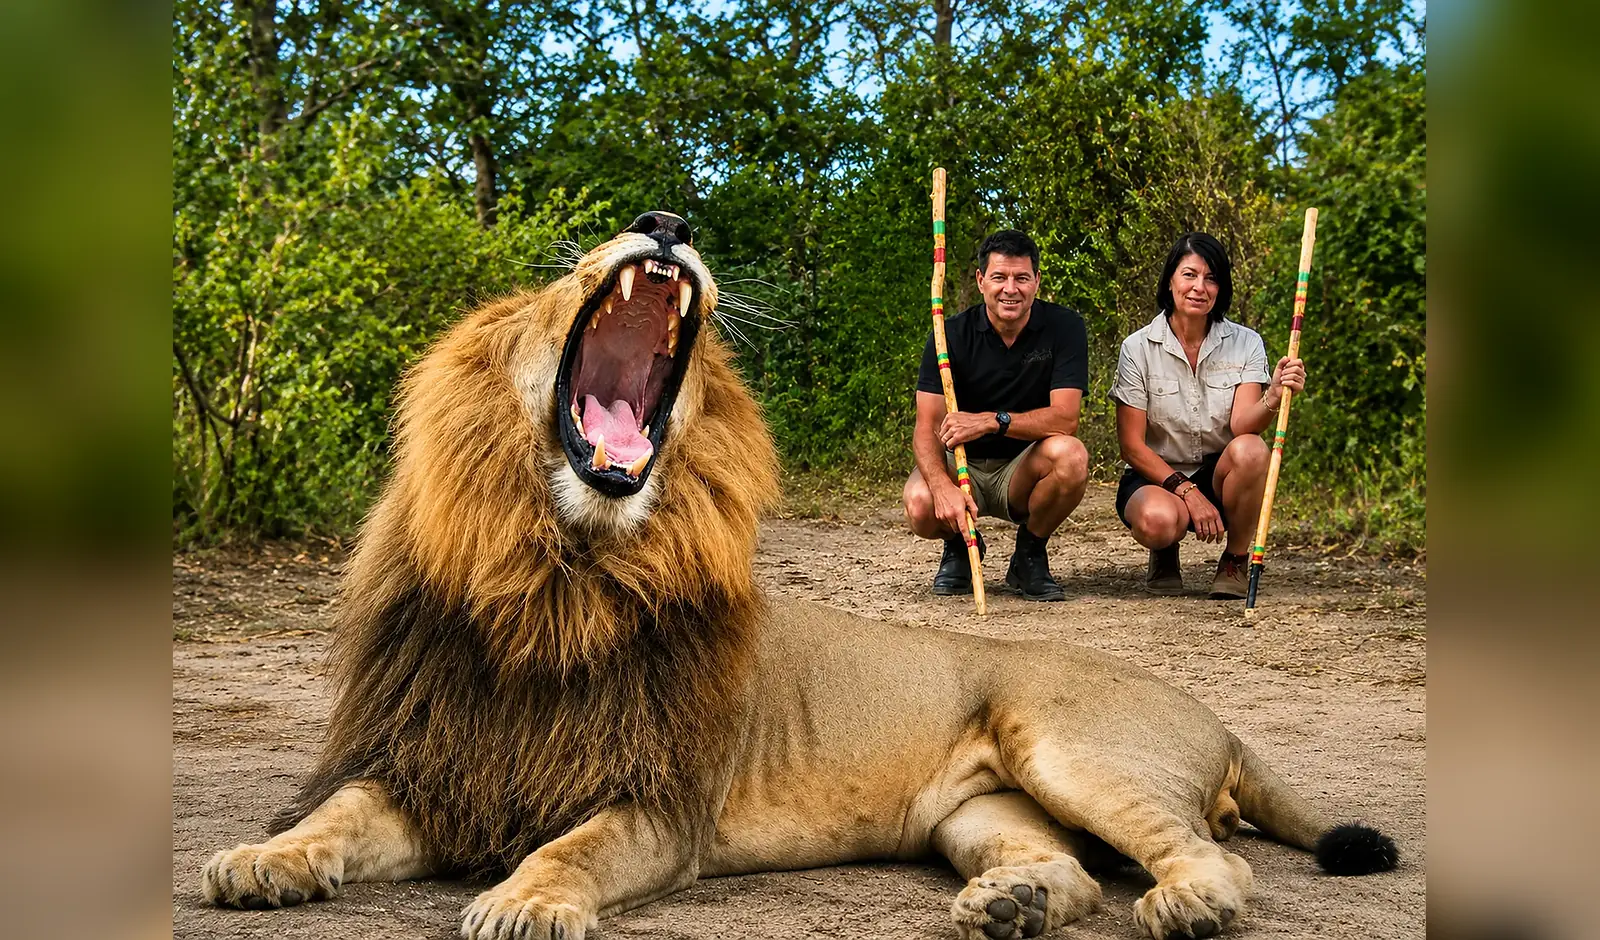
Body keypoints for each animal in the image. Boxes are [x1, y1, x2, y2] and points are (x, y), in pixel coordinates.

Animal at [200, 211, 1398, 940]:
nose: (667, 225)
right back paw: (1009, 902)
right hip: (979, 811)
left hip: (1067, 747)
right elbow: (336, 814)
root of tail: (1220, 717)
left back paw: (1181, 906)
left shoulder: (658, 806)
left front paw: (523, 903)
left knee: (1212, 863)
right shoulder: (434, 765)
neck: (559, 579)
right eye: (559, 281)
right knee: (1063, 869)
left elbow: (569, 849)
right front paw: (259, 858)